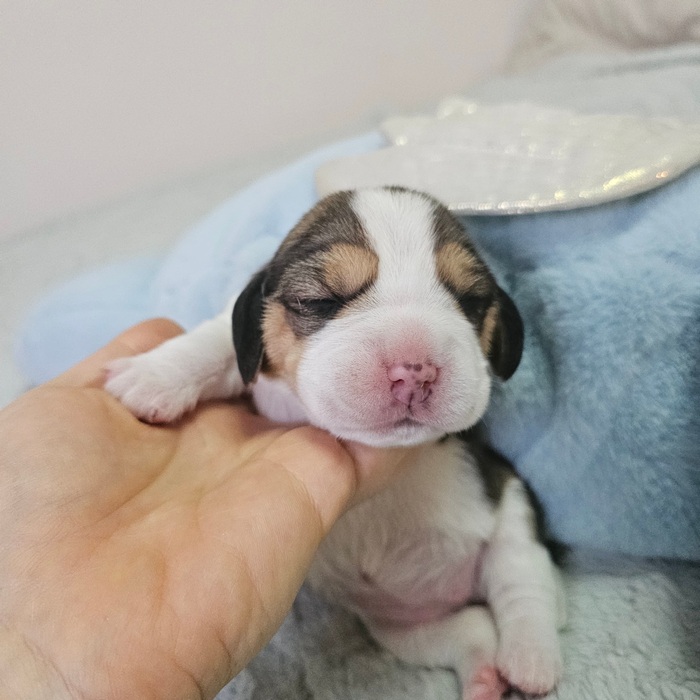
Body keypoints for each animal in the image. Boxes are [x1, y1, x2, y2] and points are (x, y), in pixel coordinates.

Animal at [105, 187, 564, 700]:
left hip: (513, 508)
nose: (414, 370)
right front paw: (152, 375)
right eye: (320, 300)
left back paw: (530, 659)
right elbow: (218, 336)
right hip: (400, 630)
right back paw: (485, 676)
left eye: (471, 300)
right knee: (470, 631)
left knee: (525, 586)